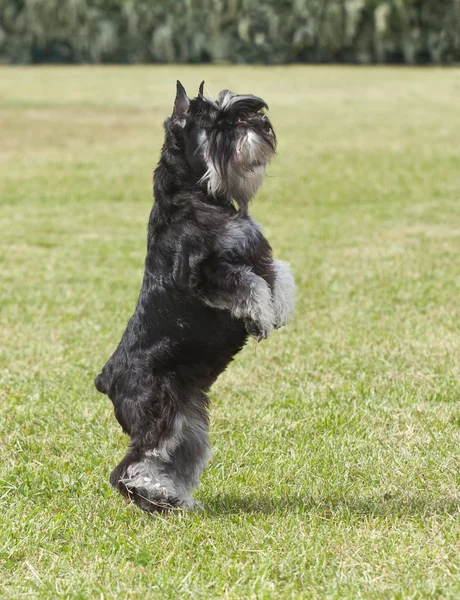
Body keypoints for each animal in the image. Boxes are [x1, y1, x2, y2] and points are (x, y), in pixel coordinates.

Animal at [95, 81, 296, 510]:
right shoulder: (200, 274)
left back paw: (173, 497)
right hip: (161, 415)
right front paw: (261, 315)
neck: (194, 194)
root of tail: (106, 379)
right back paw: (154, 497)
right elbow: (247, 284)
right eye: (218, 122)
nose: (262, 124)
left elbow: (278, 274)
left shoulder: (256, 250)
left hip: (187, 422)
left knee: (173, 459)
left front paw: (280, 308)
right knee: (128, 468)